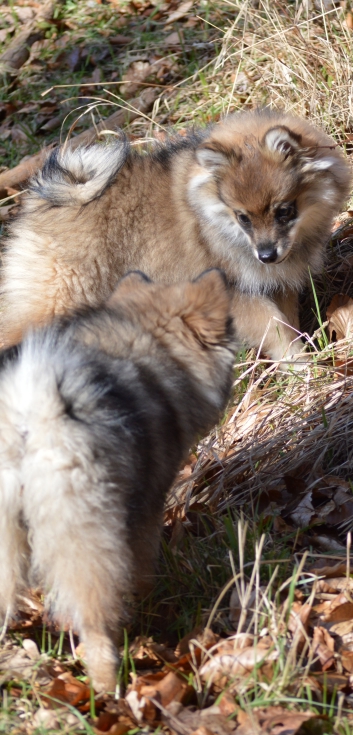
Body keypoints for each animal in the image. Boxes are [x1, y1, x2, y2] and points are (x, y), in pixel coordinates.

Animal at [0, 272, 235, 696]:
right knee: (93, 621)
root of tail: (28, 410)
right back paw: (108, 687)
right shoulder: (146, 508)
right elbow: (143, 567)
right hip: (84, 535)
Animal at [2, 109, 350, 362]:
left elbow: (286, 323)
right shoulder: (235, 293)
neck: (215, 220)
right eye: (243, 218)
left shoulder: (276, 285)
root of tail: (46, 198)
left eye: (284, 211)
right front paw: (301, 366)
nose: (266, 255)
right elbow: (274, 329)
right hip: (61, 297)